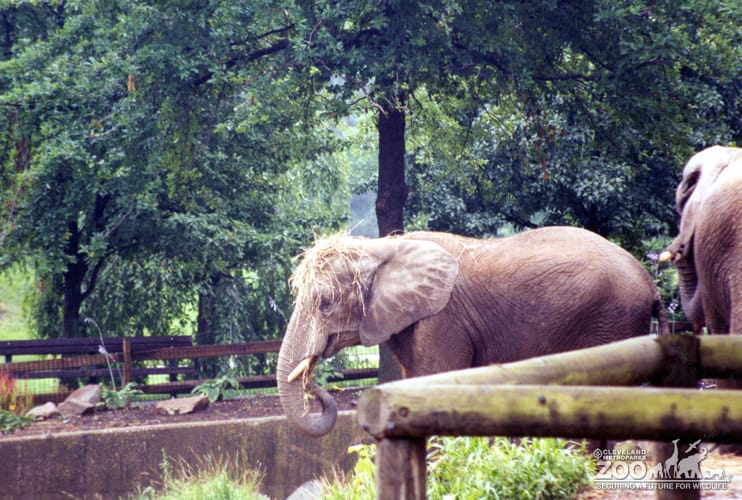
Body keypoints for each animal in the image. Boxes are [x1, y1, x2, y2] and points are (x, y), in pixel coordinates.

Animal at [277, 227, 668, 437]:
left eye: (324, 303)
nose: (314, 387)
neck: (378, 247)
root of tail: (651, 285)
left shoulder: (444, 319)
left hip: (612, 319)